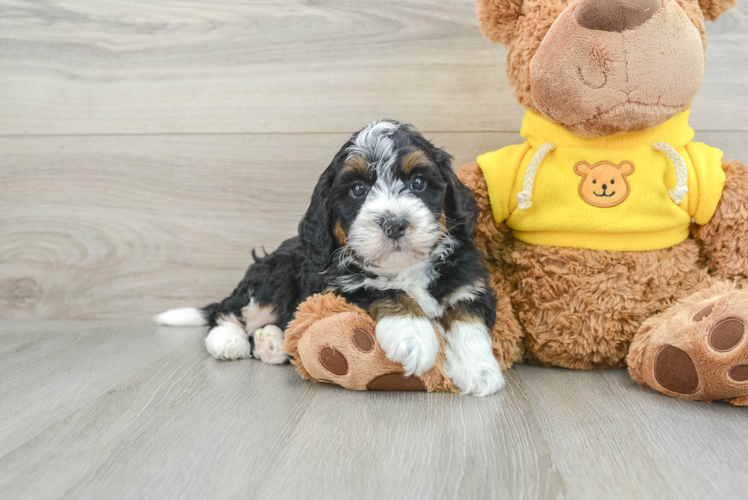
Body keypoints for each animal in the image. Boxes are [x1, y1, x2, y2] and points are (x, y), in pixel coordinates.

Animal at [153, 120, 502, 394]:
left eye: (418, 182)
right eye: (358, 189)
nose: (394, 223)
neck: (405, 268)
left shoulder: (467, 281)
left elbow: (467, 317)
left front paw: (480, 369)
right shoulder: (338, 285)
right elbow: (384, 289)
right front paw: (412, 335)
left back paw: (272, 344)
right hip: (275, 272)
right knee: (230, 310)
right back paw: (228, 340)